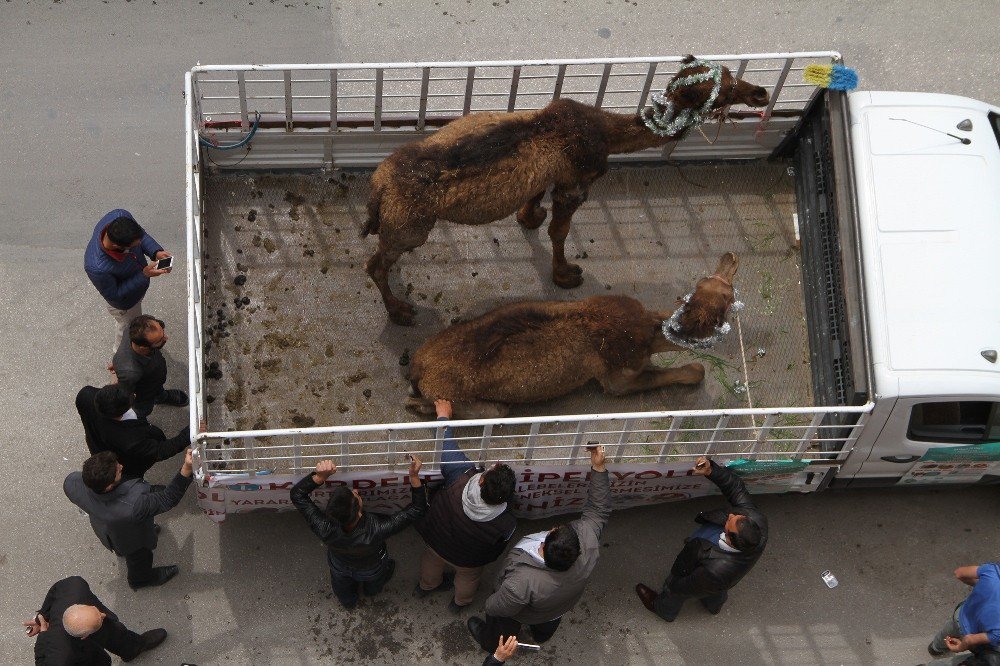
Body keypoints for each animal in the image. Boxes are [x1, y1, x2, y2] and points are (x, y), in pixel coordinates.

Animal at [364, 57, 768, 324]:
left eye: (730, 74)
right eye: (722, 89)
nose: (761, 93)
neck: (608, 134)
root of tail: (378, 186)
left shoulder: (551, 175)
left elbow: (536, 202)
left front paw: (529, 217)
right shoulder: (578, 180)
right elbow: (560, 231)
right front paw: (566, 275)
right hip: (410, 224)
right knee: (376, 262)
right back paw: (400, 310)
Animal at [402, 253, 740, 416]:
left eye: (725, 289)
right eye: (728, 301)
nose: (731, 260)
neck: (648, 333)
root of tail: (418, 370)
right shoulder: (616, 379)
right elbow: (691, 371)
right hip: (471, 401)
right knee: (493, 408)